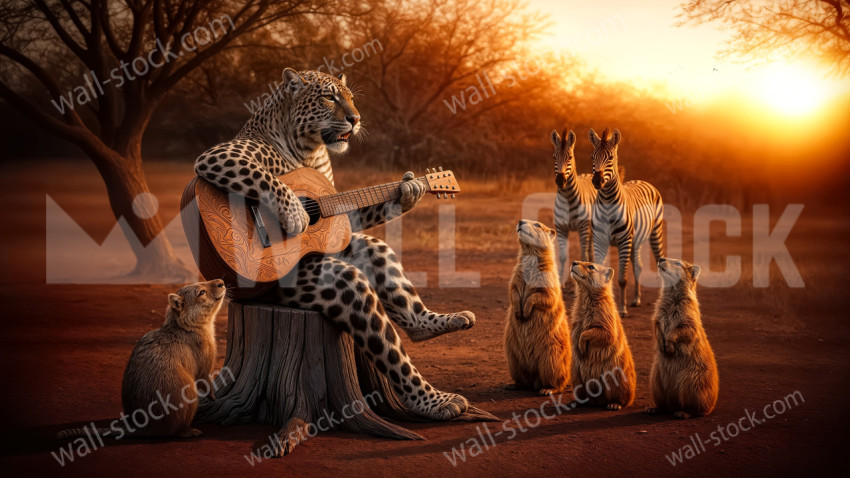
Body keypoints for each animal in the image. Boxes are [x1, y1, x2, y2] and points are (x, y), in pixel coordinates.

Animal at [193, 68, 475, 420]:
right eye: (329, 97)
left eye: (351, 97)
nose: (355, 119)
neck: (310, 150)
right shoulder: (220, 155)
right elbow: (263, 177)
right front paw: (296, 214)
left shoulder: (336, 209)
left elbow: (349, 212)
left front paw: (411, 190)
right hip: (312, 280)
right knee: (381, 334)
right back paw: (433, 401)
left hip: (353, 250)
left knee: (378, 253)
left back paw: (436, 323)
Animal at [550, 128, 596, 286]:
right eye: (554, 156)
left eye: (569, 157)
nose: (560, 180)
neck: (568, 196)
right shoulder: (561, 227)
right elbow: (563, 256)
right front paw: (560, 281)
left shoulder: (583, 226)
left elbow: (583, 255)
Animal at [588, 127, 664, 317]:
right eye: (592, 157)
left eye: (610, 158)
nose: (597, 181)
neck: (608, 202)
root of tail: (643, 180)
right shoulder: (599, 240)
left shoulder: (623, 241)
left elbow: (622, 279)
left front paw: (622, 310)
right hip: (636, 241)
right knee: (638, 265)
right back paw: (636, 299)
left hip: (654, 233)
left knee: (659, 263)